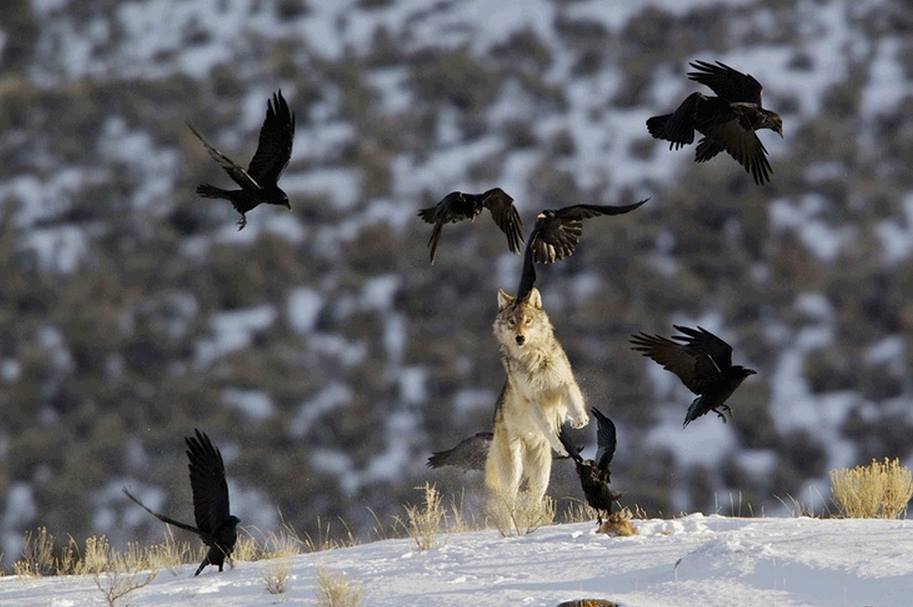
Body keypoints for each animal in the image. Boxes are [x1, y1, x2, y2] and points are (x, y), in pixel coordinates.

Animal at [485, 287, 589, 504]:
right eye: (512, 322)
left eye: (528, 320)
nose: (520, 338)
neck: (536, 359)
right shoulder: (534, 401)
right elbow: (548, 427)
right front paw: (560, 445)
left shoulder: (564, 383)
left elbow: (574, 400)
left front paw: (580, 419)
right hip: (513, 469)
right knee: (509, 498)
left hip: (541, 474)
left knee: (535, 496)